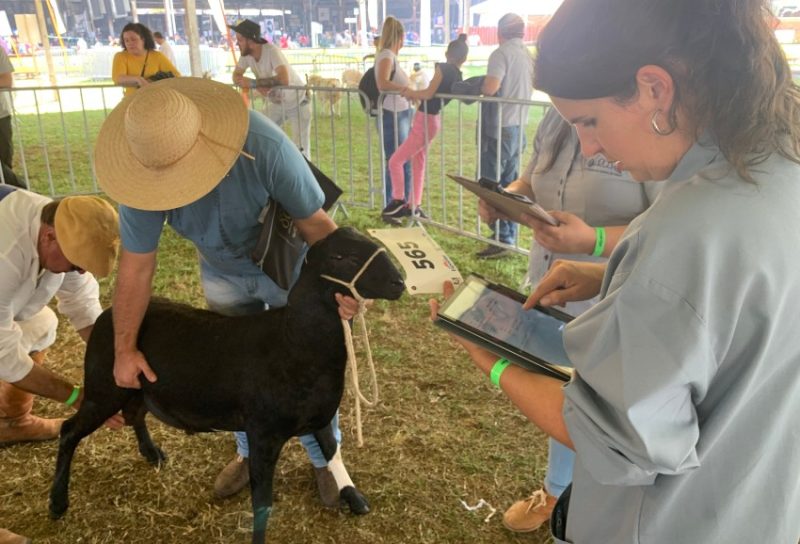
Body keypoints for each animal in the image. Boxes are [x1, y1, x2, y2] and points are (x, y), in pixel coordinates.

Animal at [48, 227, 406, 544]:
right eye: (341, 256)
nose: (399, 282)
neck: (294, 340)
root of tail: (107, 316)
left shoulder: (317, 417)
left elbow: (331, 451)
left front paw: (352, 495)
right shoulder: (263, 432)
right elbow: (262, 501)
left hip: (135, 387)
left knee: (135, 414)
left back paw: (152, 454)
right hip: (104, 388)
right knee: (69, 430)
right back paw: (57, 503)